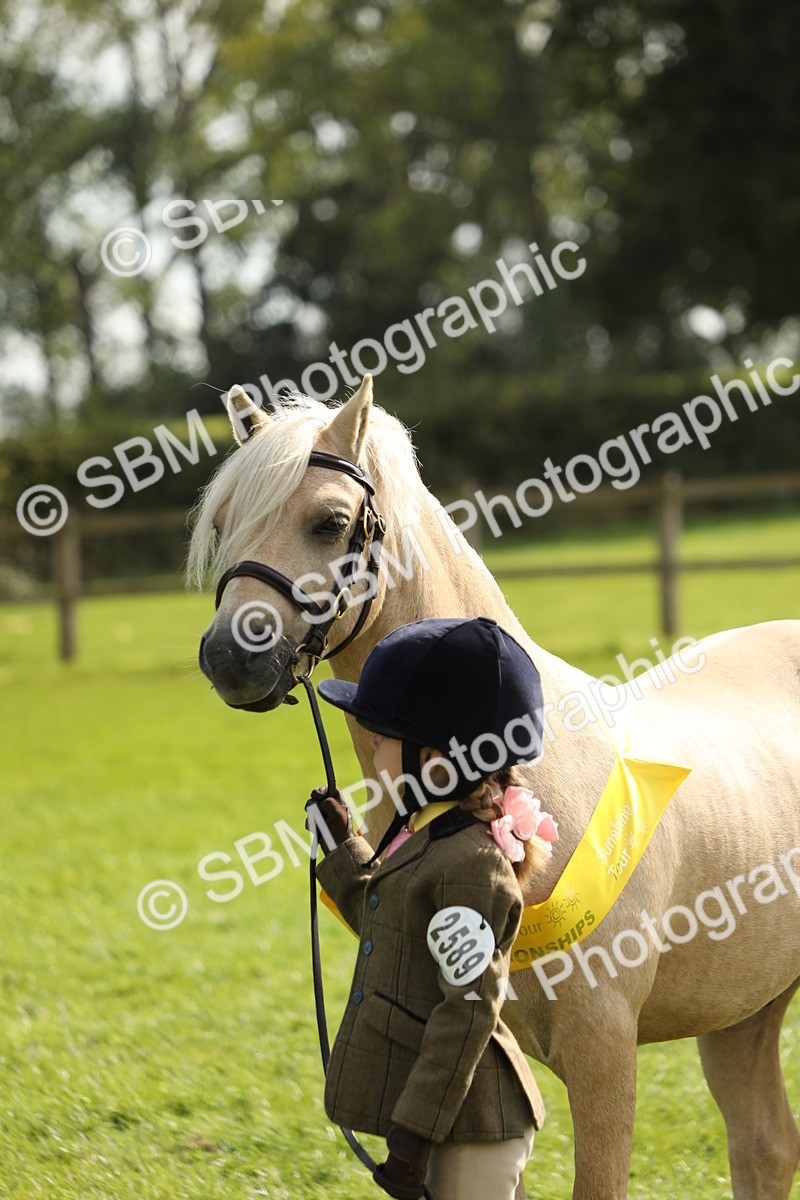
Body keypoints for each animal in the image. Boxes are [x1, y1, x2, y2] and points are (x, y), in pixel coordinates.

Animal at [189, 375, 800, 1200]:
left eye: (330, 522)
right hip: (745, 1010)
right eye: (223, 522)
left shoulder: (605, 1047)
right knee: (764, 1146)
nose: (230, 657)